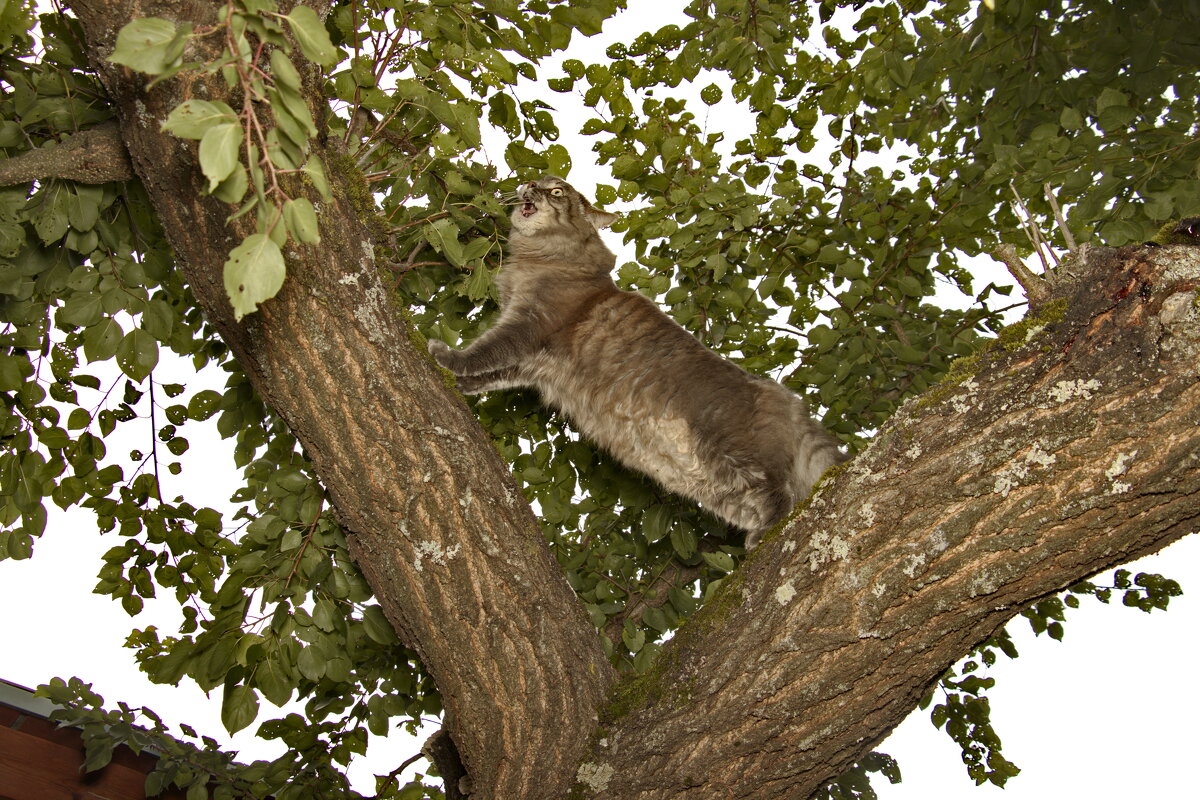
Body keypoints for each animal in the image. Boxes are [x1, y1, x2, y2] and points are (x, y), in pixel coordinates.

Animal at [429, 177, 844, 546]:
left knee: (780, 494)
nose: (529, 187)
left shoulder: (526, 326)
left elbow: (483, 352)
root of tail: (786, 397)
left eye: (557, 191)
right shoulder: (528, 363)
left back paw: (766, 535)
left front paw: (444, 356)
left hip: (732, 447)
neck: (545, 255)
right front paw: (461, 385)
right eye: (536, 181)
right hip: (720, 487)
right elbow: (491, 373)